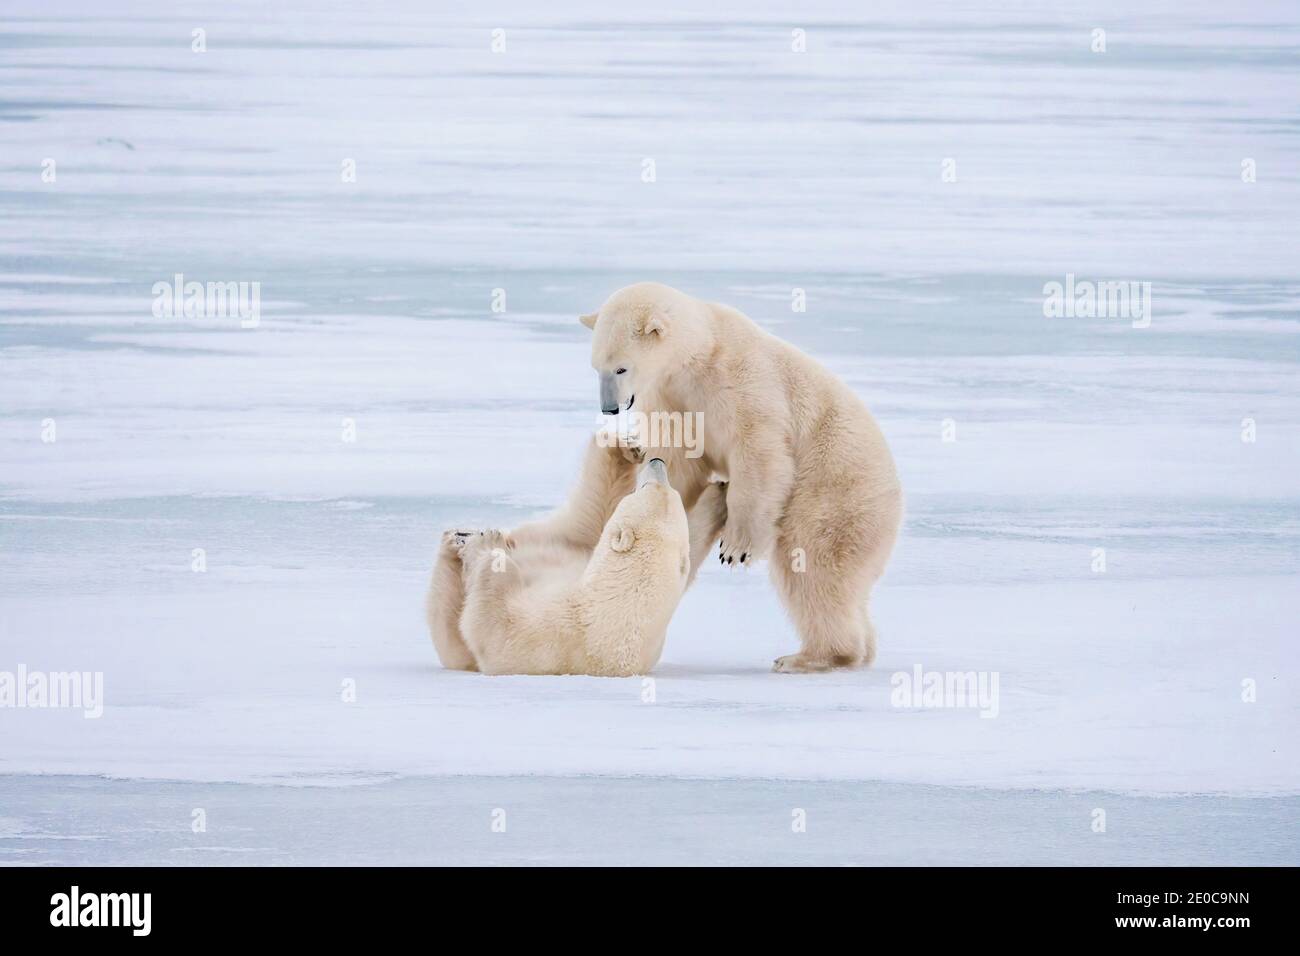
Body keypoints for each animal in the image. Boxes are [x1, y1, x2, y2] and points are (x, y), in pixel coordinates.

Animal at [428, 437, 728, 676]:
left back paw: (454, 546)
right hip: (564, 542)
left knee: (448, 620)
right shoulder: (580, 563)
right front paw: (719, 494)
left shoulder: (551, 633)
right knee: (590, 512)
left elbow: (492, 624)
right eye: (667, 489)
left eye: (646, 489)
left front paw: (488, 544)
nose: (657, 460)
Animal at [582, 282, 904, 671]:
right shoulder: (670, 395)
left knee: (813, 563)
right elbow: (679, 459)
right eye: (596, 367)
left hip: (834, 487)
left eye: (621, 368)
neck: (700, 351)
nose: (609, 409)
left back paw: (810, 656)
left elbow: (758, 451)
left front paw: (735, 547)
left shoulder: (742, 380)